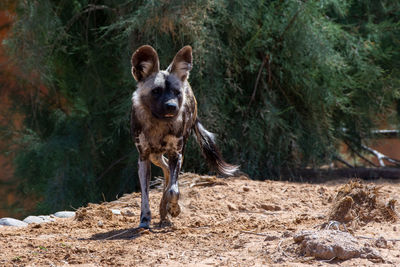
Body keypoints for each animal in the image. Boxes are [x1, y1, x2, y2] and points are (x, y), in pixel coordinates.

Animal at [130, 45, 238, 229]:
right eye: (156, 91)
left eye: (176, 92)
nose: (171, 106)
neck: (159, 124)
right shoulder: (143, 157)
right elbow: (145, 194)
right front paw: (145, 219)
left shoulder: (177, 154)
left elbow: (174, 190)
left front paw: (173, 209)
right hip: (154, 156)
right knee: (166, 169)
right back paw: (162, 210)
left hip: (173, 153)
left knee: (169, 177)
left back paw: (165, 210)